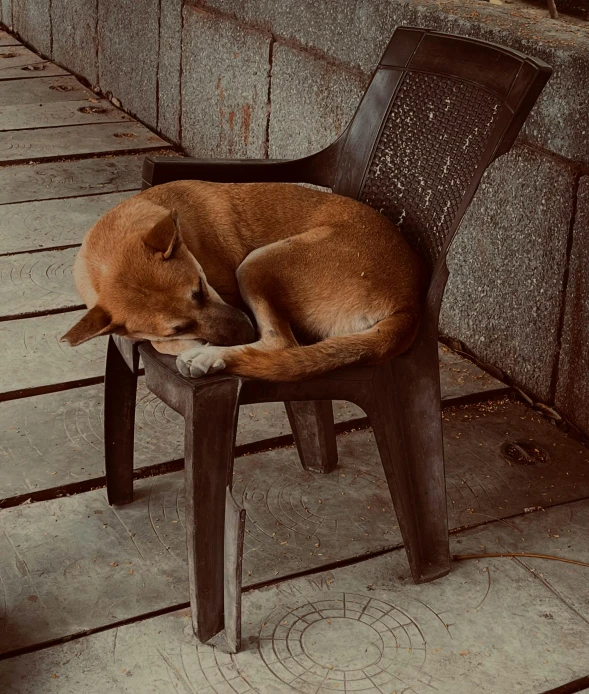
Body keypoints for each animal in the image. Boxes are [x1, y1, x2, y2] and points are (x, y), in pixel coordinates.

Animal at [63, 182, 422, 384]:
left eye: (200, 288)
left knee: (281, 343)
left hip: (255, 263)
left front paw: (204, 350)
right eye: (177, 327)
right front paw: (194, 345)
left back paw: (211, 357)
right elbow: (159, 342)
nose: (245, 332)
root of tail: (408, 305)